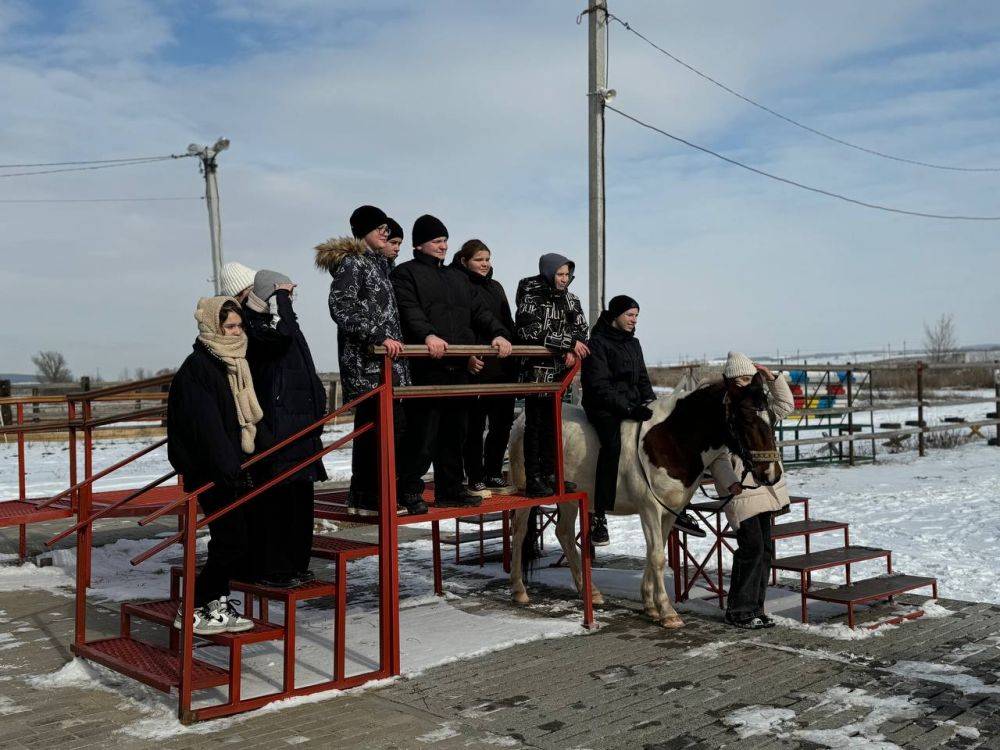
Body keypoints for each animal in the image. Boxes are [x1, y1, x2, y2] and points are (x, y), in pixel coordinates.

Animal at [508, 376, 780, 628]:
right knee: (519, 533)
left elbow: (654, 553)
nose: (772, 474)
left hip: (570, 499)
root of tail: (521, 422)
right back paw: (519, 590)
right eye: (747, 420)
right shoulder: (650, 508)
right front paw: (668, 613)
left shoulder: (670, 511)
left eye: (772, 418)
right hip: (527, 493)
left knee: (563, 533)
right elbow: (658, 556)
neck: (673, 438)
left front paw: (650, 604)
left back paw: (590, 592)